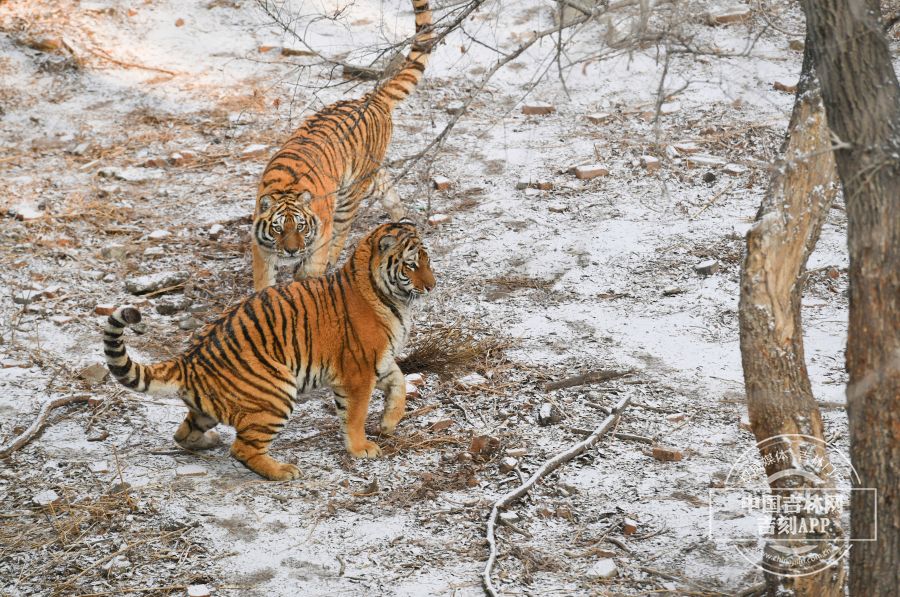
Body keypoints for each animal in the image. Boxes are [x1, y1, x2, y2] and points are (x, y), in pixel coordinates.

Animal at [103, 222, 434, 480]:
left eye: (427, 260)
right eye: (411, 265)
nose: (432, 286)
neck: (391, 297)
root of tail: (189, 359)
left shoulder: (380, 361)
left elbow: (400, 383)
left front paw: (389, 423)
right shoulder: (358, 371)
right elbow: (355, 415)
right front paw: (361, 448)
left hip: (211, 407)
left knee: (183, 433)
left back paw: (208, 441)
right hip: (277, 391)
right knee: (242, 448)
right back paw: (282, 470)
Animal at [253, 0, 436, 292]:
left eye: (301, 227)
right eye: (278, 228)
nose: (292, 251)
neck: (286, 190)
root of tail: (370, 98)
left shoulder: (320, 234)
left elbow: (312, 268)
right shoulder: (261, 249)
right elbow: (264, 280)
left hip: (350, 192)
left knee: (343, 230)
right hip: (370, 174)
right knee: (387, 189)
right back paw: (405, 219)